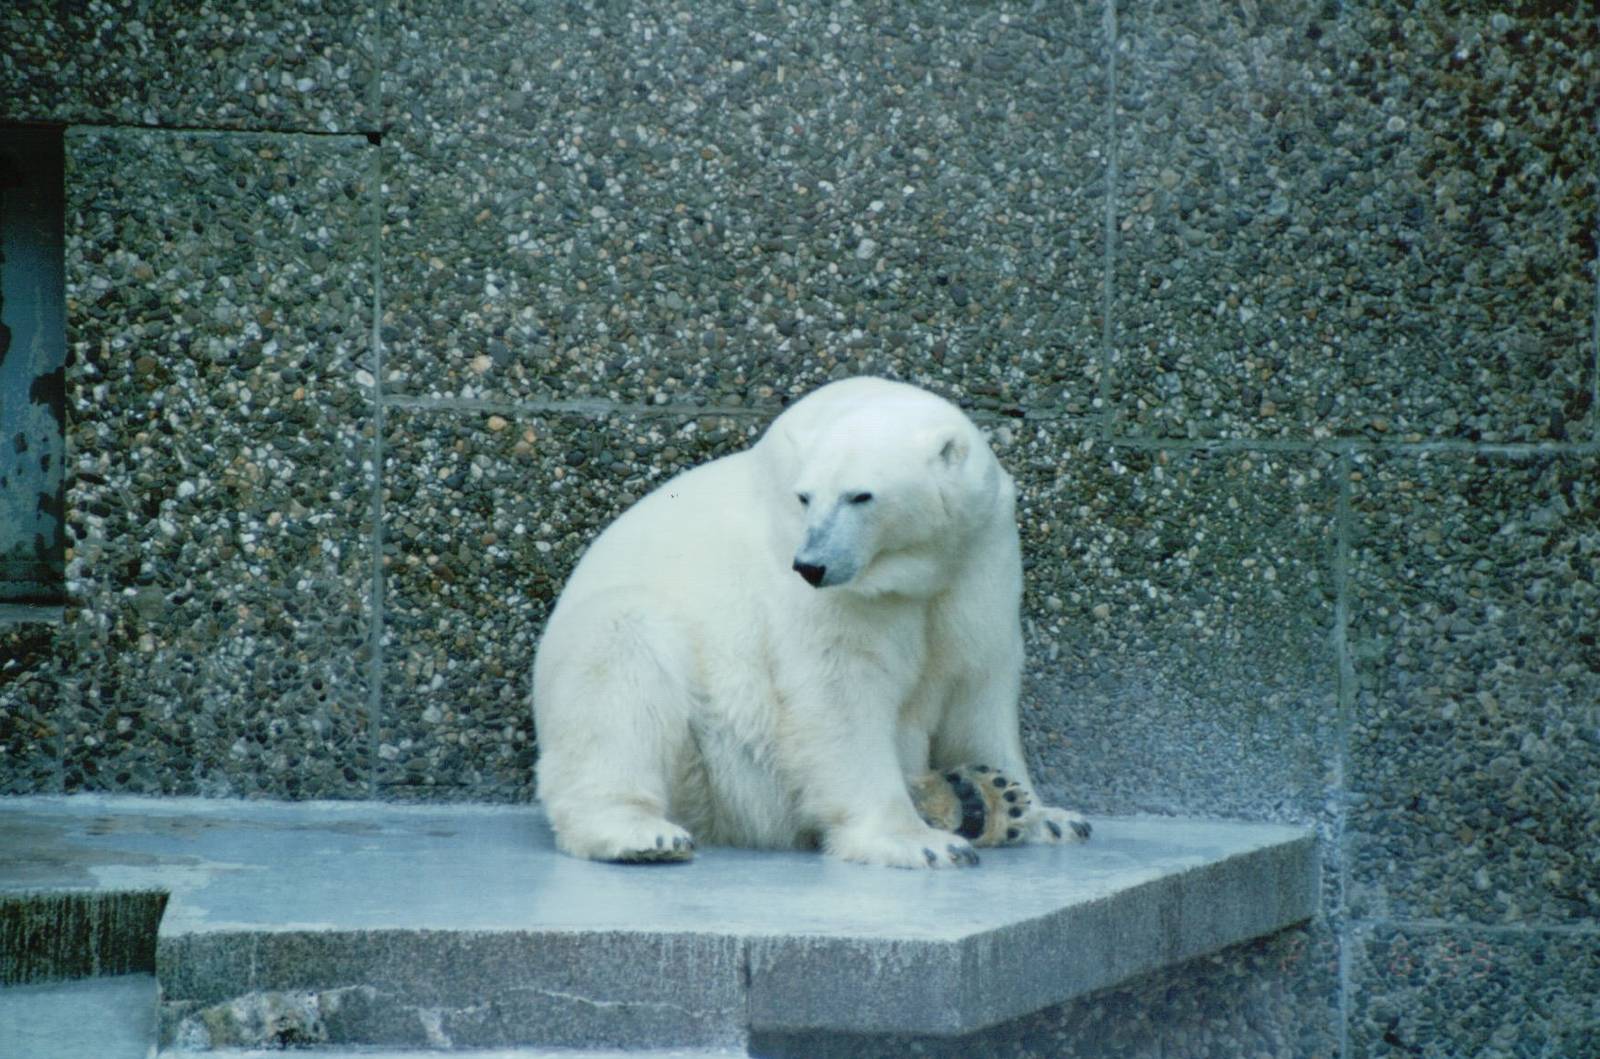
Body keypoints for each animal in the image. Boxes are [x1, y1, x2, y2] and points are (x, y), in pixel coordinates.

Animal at [532, 377, 1090, 868]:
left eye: (861, 495)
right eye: (805, 498)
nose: (811, 565)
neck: (912, 568)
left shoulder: (980, 556)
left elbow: (979, 688)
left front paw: (1043, 814)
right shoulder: (834, 597)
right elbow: (839, 692)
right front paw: (918, 843)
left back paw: (975, 799)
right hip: (711, 758)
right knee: (619, 669)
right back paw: (643, 834)